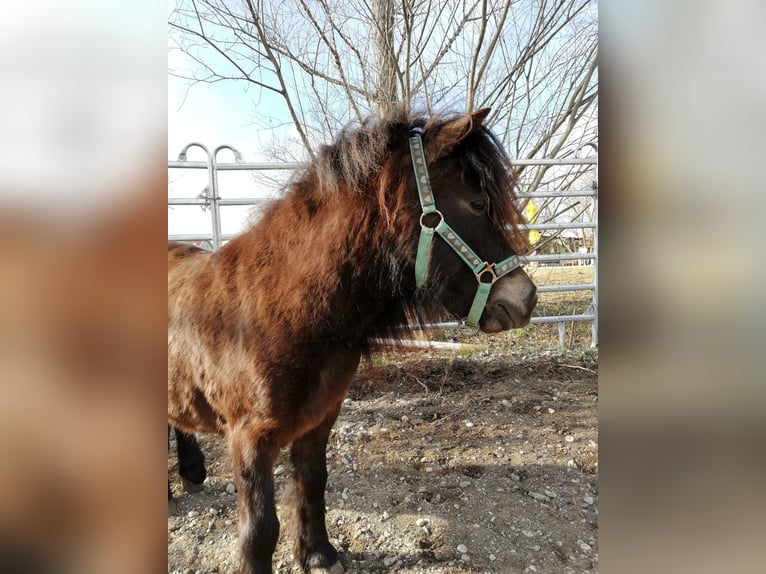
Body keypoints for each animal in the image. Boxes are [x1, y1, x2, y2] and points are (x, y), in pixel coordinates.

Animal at [168, 107, 538, 574]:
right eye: (477, 203)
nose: (525, 299)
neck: (281, 311)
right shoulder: (249, 438)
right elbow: (259, 530)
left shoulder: (320, 419)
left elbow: (313, 484)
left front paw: (318, 553)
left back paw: (191, 471)